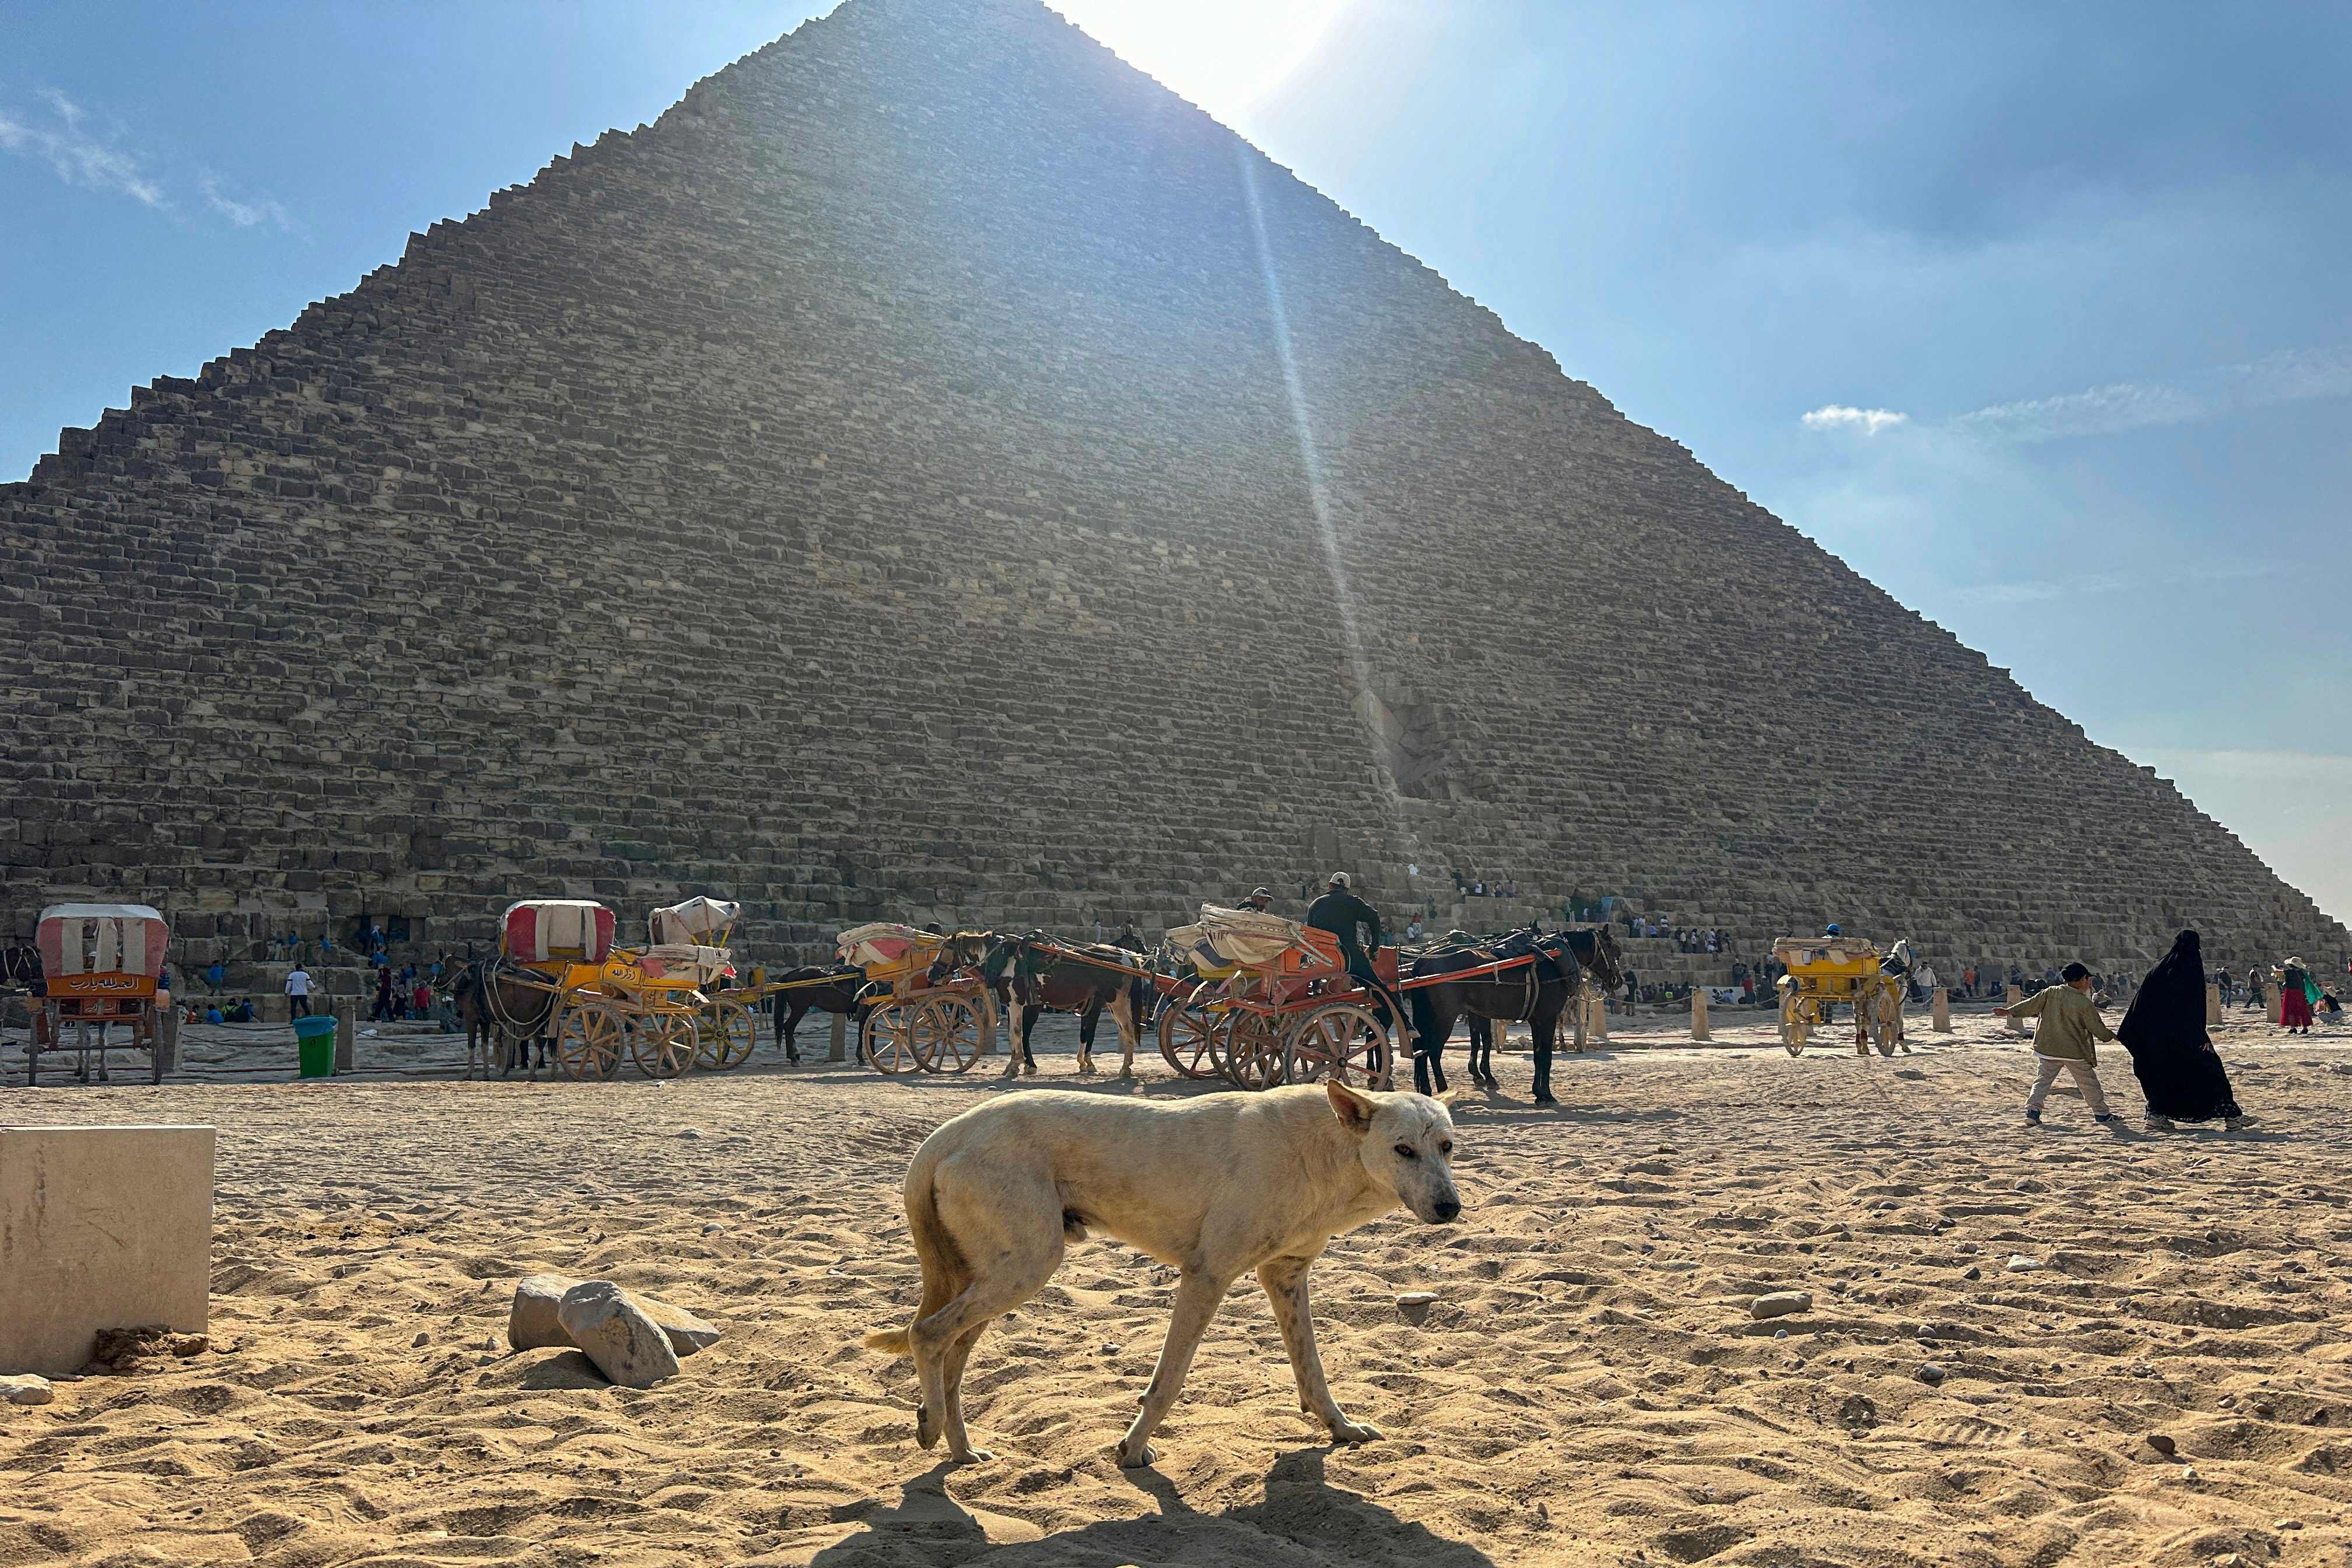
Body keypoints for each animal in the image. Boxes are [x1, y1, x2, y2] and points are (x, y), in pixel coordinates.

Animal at [856, 1086, 1458, 1466]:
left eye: (1448, 1147)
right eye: (1403, 1149)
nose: (1450, 1208)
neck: (1326, 1148)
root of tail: (944, 1136)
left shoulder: (1285, 1278)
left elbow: (1313, 1374)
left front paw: (1342, 1429)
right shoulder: (1206, 1276)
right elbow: (1167, 1383)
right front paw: (1132, 1450)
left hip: (996, 1278)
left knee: (950, 1356)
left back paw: (958, 1448)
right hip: (1025, 1269)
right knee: (925, 1334)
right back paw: (931, 1427)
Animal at [974, 930, 1147, 1081]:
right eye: (1137, 941)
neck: (1005, 959)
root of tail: (1126, 957)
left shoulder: (1016, 1003)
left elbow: (1016, 1033)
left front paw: (1015, 1066)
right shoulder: (1015, 1005)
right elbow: (1016, 1034)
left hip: (1116, 1002)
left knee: (1128, 1029)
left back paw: (1125, 1068)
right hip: (1115, 1004)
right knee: (1125, 1030)